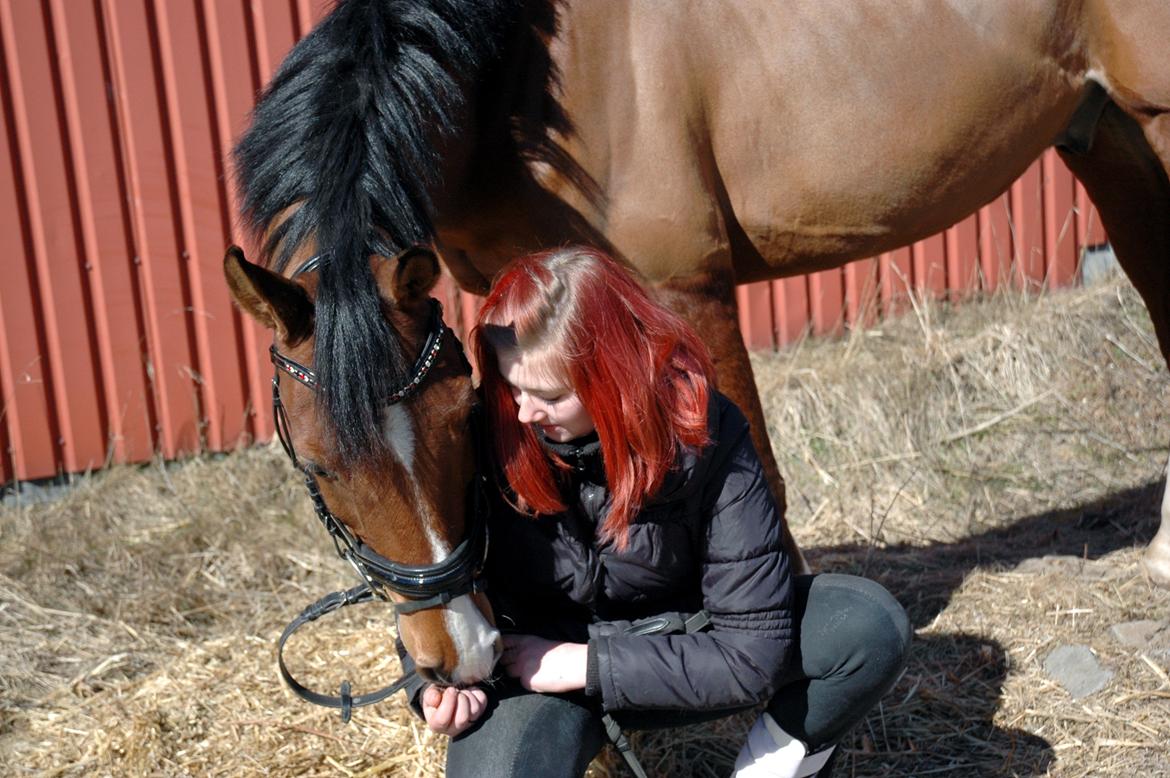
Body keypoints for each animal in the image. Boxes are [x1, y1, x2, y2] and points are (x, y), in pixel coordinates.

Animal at [232, 0, 1170, 692]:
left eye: (459, 424)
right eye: (316, 467)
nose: (454, 656)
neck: (525, 82)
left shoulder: (683, 290)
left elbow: (757, 472)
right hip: (1111, 137)